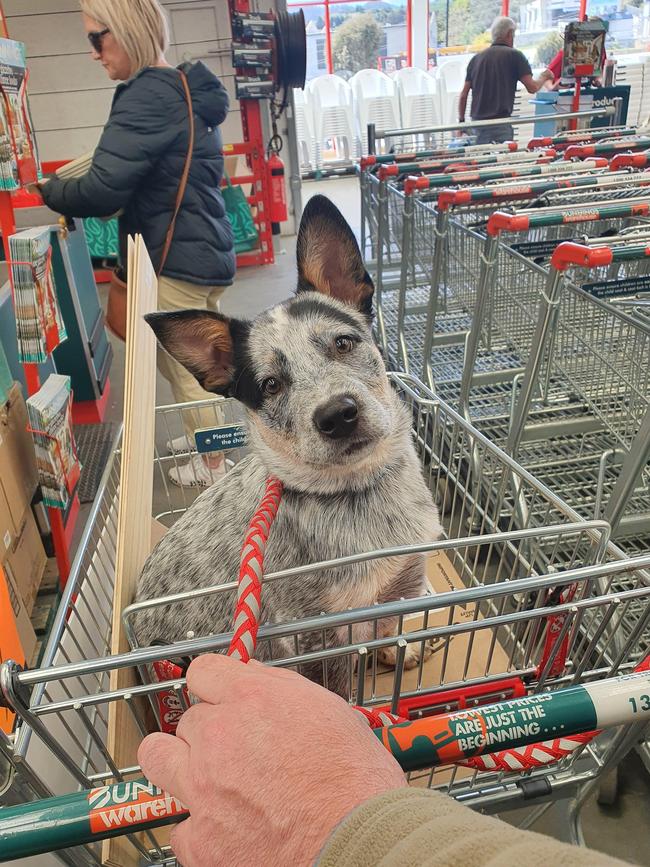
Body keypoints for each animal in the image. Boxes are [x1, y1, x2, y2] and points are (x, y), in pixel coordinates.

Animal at [134, 193, 442, 696]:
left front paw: (400, 652)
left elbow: (390, 628)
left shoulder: (400, 583)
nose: (337, 414)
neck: (361, 493)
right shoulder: (317, 634)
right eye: (271, 385)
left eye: (343, 343)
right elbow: (338, 690)